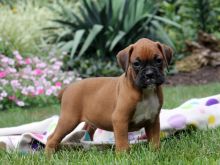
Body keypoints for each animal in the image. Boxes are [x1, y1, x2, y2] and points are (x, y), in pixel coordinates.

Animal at [45, 38, 173, 154]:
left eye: (158, 60)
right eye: (136, 64)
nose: (149, 74)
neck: (145, 91)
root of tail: (68, 88)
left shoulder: (153, 120)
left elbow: (154, 140)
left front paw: (156, 153)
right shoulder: (120, 119)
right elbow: (122, 141)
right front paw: (123, 156)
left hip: (89, 121)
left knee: (86, 132)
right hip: (69, 120)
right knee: (52, 138)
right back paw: (49, 156)